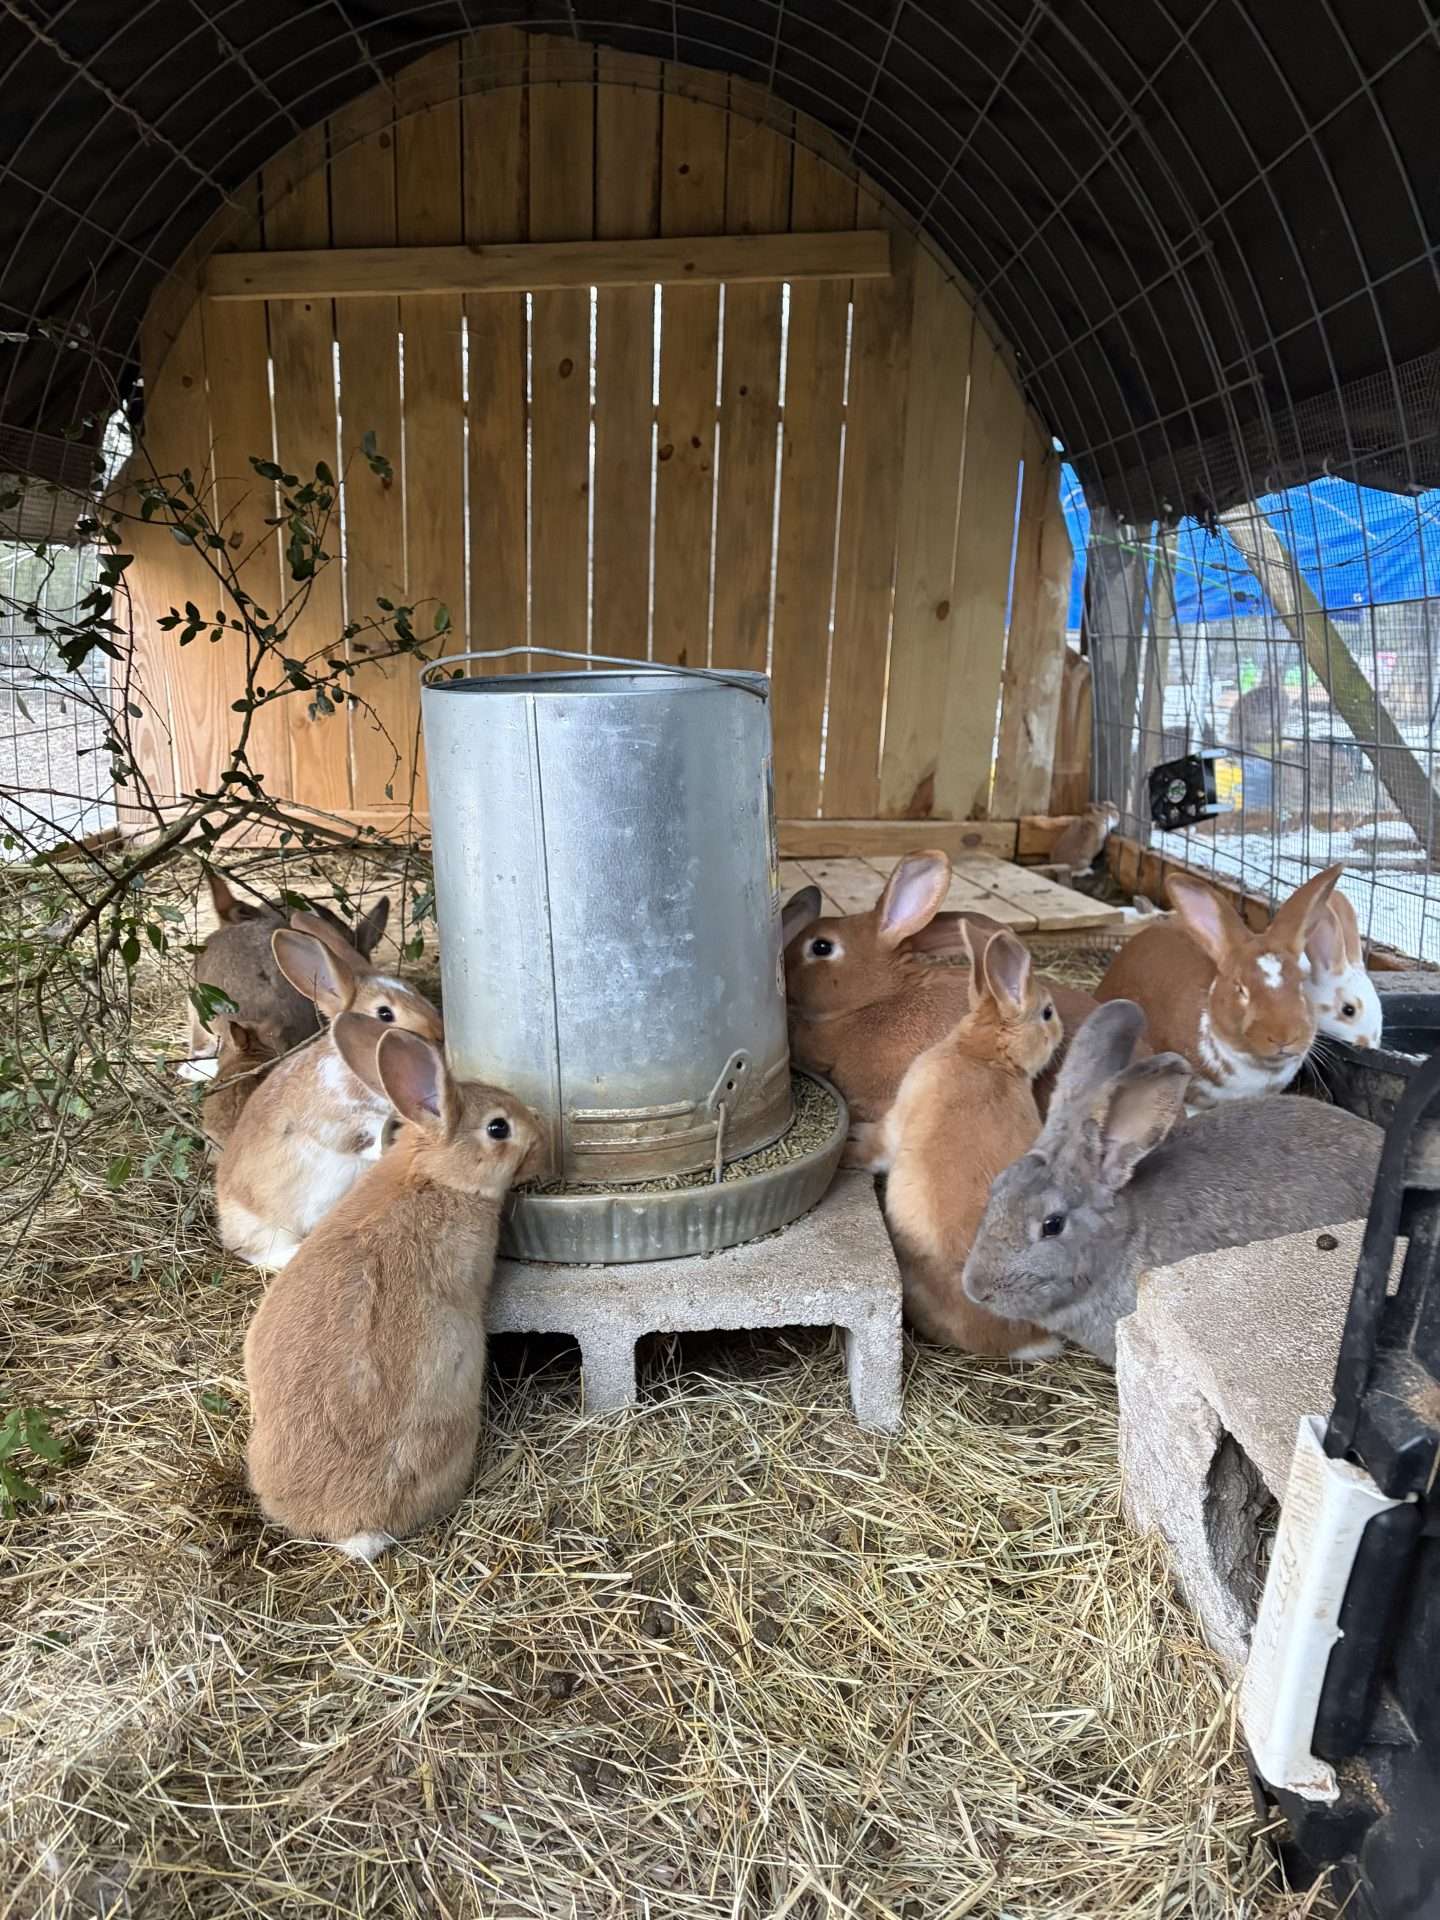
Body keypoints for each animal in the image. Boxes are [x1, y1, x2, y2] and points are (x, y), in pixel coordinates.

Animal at [215, 924, 442, 1270]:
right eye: (384, 1013)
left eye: (414, 991)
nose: (438, 1031)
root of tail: (225, 1225)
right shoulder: (334, 1118)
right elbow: (357, 1137)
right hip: (270, 1226)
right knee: (261, 1254)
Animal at [858, 924, 1065, 1359]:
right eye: (1048, 1013)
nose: (1060, 1030)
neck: (985, 1056)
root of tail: (1022, 1341)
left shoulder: (896, 1122)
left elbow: (876, 1147)